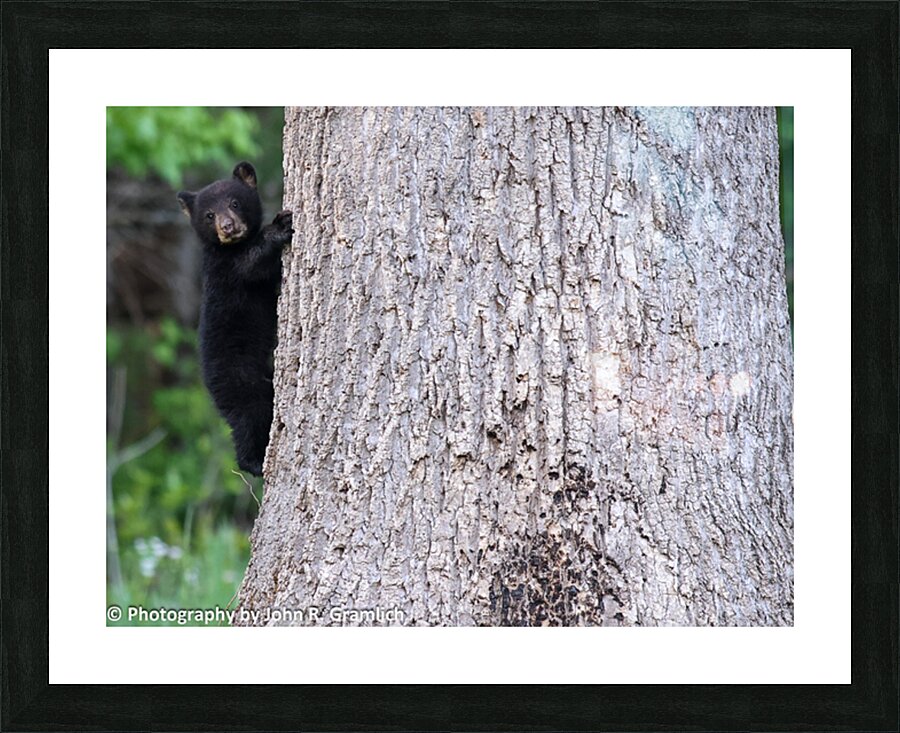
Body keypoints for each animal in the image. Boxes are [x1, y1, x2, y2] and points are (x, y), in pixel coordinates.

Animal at [177, 161, 293, 476]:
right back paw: (254, 462)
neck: (230, 247)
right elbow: (251, 265)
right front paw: (279, 227)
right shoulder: (226, 270)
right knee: (249, 416)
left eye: (234, 202)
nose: (227, 227)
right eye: (209, 215)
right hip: (239, 379)